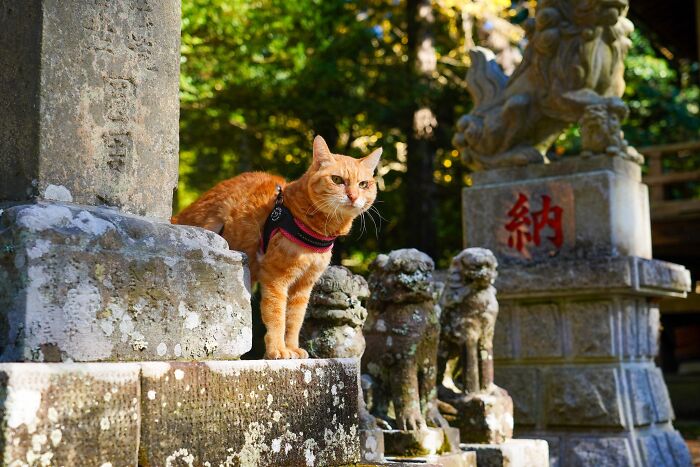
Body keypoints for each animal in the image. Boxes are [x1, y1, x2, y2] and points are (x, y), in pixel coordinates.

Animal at [175, 137, 382, 360]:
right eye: (337, 180)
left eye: (363, 184)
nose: (353, 196)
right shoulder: (275, 279)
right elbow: (276, 317)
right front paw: (278, 349)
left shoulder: (303, 287)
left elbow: (294, 321)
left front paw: (291, 347)